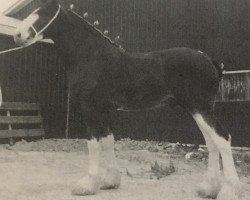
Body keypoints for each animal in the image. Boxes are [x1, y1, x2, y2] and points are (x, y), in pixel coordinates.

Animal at [13, 0, 240, 199]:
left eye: (44, 13)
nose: (17, 35)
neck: (91, 57)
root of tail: (210, 60)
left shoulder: (90, 110)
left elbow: (93, 144)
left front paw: (87, 185)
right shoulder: (103, 111)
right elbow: (108, 141)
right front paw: (110, 181)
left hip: (200, 108)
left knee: (222, 139)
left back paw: (229, 191)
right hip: (197, 109)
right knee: (211, 142)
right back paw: (208, 189)